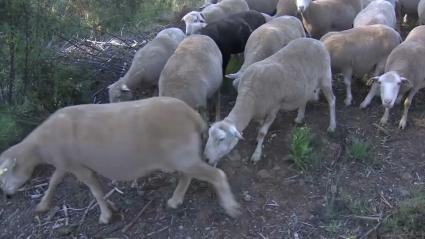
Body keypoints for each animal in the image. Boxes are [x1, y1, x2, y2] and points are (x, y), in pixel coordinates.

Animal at [0, 96, 240, 223]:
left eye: (3, 177)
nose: (6, 195)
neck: (41, 145)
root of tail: (194, 116)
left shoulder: (77, 167)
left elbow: (94, 190)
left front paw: (105, 215)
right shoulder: (67, 164)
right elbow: (54, 181)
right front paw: (43, 204)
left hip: (182, 156)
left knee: (216, 174)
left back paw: (230, 206)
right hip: (183, 156)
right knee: (187, 176)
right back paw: (175, 200)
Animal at [202, 38, 334, 165]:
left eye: (221, 139)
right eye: (209, 136)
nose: (206, 159)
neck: (250, 97)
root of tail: (317, 41)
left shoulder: (274, 109)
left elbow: (262, 132)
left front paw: (256, 154)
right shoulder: (260, 111)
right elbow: (260, 126)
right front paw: (257, 140)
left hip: (325, 78)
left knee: (332, 100)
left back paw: (332, 126)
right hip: (306, 85)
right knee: (304, 99)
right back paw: (299, 118)